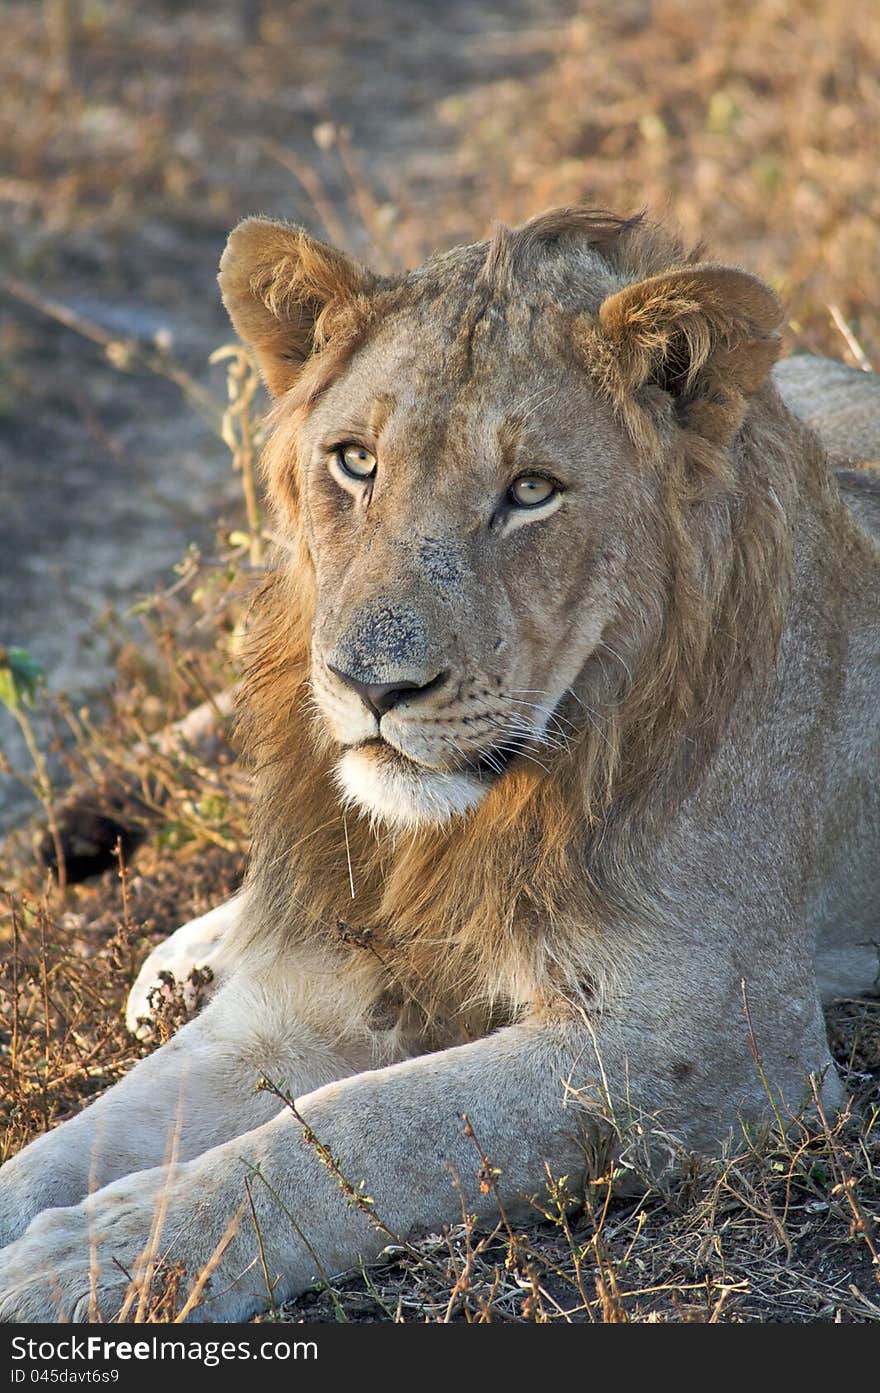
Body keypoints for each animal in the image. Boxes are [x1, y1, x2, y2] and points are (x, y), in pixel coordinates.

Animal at [0, 206, 874, 1314]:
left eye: (532, 492)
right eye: (354, 462)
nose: (372, 687)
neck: (455, 829)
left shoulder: (715, 1043)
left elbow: (361, 1129)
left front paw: (87, 1264)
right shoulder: (310, 995)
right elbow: (70, 1146)